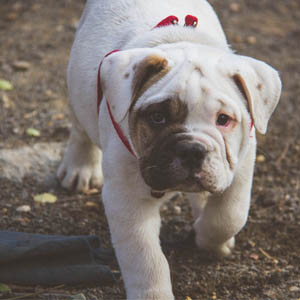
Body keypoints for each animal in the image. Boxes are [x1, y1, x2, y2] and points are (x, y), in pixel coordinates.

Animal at [58, 1, 282, 298]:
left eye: (223, 119)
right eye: (157, 118)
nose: (192, 149)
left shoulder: (241, 168)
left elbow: (229, 215)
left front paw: (210, 238)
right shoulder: (127, 200)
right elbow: (145, 258)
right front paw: (153, 292)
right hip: (77, 89)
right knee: (81, 130)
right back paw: (79, 168)